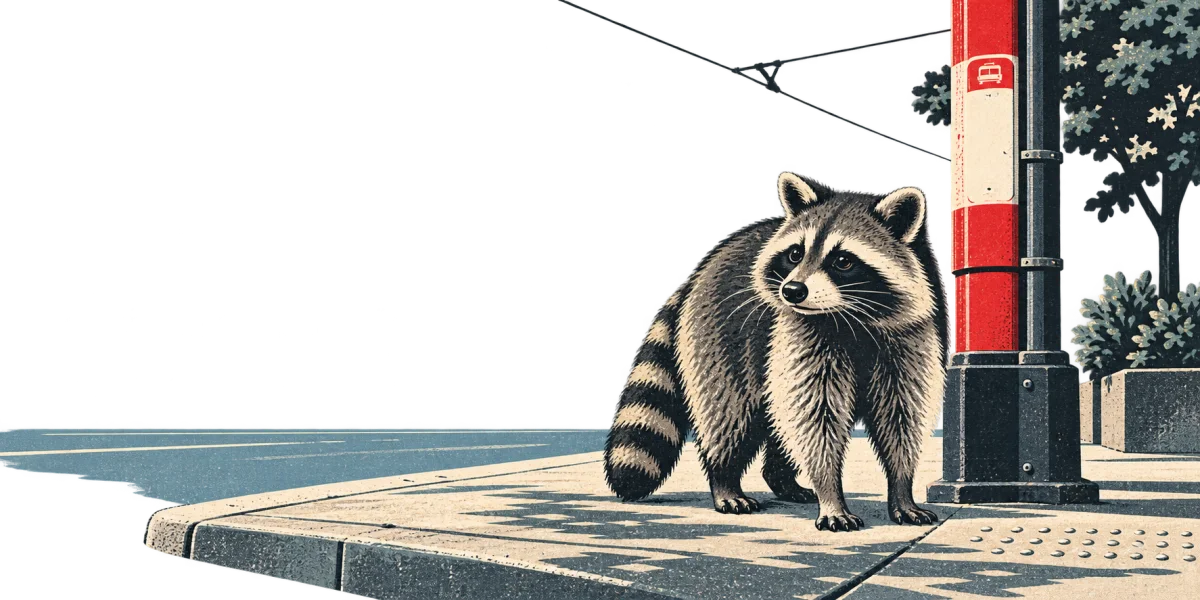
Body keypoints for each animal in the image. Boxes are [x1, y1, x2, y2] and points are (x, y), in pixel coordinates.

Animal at [604, 171, 951, 531]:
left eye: (843, 261)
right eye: (795, 254)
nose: (793, 290)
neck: (851, 318)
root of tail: (700, 269)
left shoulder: (909, 336)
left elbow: (900, 415)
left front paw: (902, 488)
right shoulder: (800, 332)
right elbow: (816, 418)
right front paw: (831, 493)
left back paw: (780, 477)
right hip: (718, 333)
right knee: (729, 411)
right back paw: (724, 477)